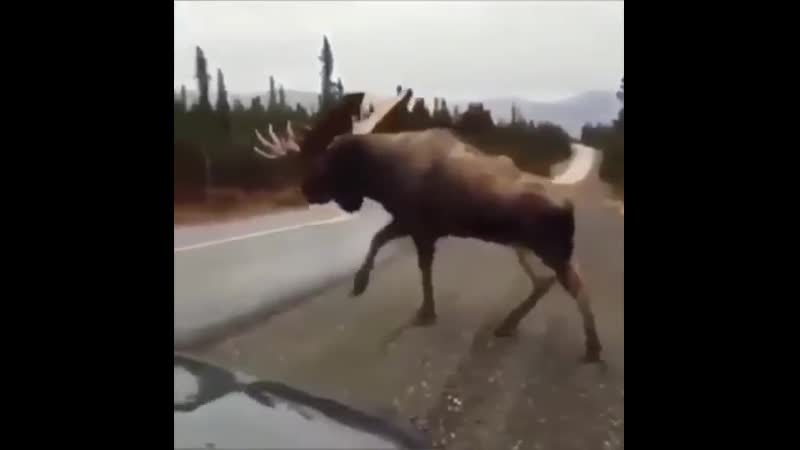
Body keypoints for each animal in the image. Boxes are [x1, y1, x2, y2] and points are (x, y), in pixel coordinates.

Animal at [253, 90, 603, 363]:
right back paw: (508, 324)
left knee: (576, 287)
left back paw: (592, 347)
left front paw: (424, 310)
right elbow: (378, 240)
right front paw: (360, 283)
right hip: (524, 246)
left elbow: (417, 264)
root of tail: (568, 206)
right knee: (546, 281)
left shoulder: (418, 225)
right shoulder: (410, 223)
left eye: (327, 161)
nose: (306, 190)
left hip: (548, 248)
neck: (381, 175)